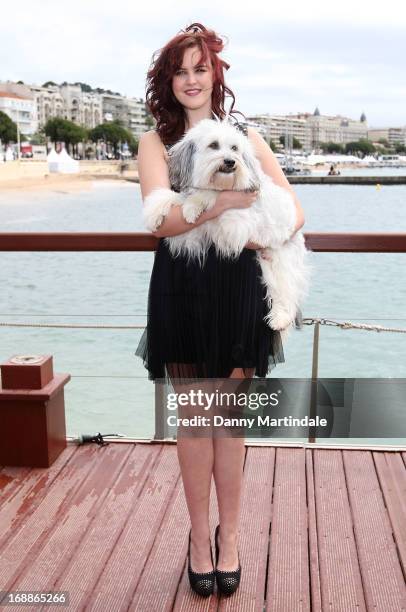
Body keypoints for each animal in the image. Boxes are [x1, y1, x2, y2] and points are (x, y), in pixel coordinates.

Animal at [142, 117, 310, 338]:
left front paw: (195, 204)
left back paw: (279, 319)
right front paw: (156, 210)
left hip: (281, 260)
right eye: (213, 145)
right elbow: (179, 197)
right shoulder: (193, 234)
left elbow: (212, 195)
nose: (230, 162)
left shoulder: (235, 226)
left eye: (235, 148)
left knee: (286, 292)